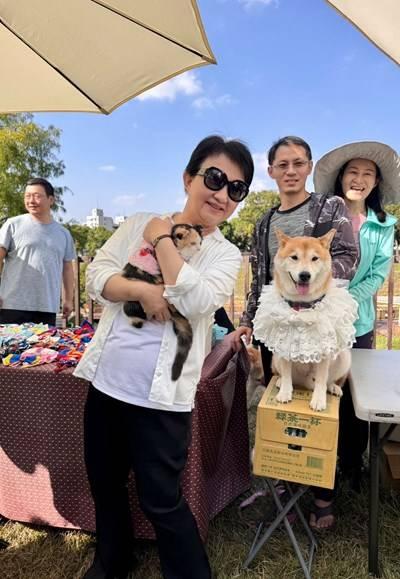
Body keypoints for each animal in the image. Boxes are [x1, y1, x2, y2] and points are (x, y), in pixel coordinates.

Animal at [253, 229, 356, 410]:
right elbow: (287, 375)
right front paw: (285, 393)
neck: (302, 306)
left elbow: (321, 380)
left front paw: (319, 400)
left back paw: (333, 387)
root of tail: (305, 383)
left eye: (315, 258)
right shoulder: (284, 344)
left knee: (328, 380)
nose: (304, 275)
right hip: (276, 357)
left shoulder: (324, 350)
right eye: (294, 257)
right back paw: (280, 382)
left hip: (344, 358)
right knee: (284, 375)